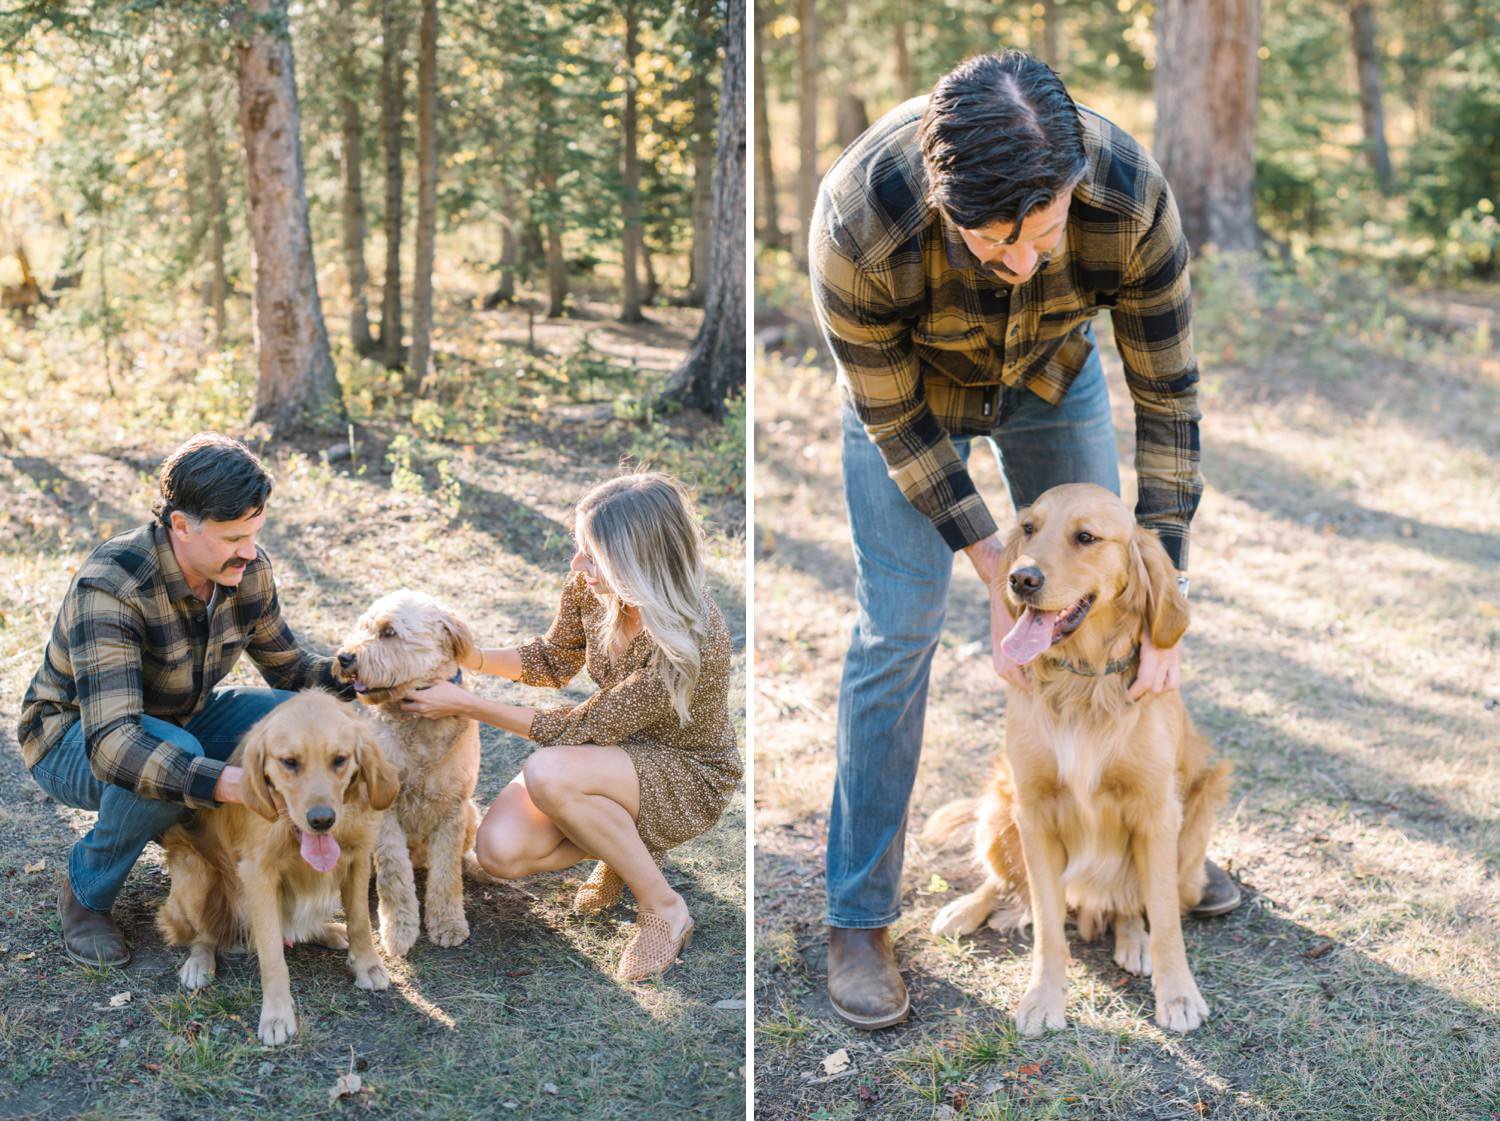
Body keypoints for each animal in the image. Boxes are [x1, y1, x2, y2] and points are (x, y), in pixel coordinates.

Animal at [156, 693, 399, 1050]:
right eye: (290, 762)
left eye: (340, 760)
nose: (322, 820)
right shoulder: (258, 875)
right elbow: (272, 956)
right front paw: (276, 1016)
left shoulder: (357, 858)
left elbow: (360, 923)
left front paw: (367, 965)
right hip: (194, 874)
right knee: (205, 934)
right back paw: (199, 962)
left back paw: (328, 931)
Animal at [333, 588, 480, 954]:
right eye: (364, 626)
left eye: (389, 632)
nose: (344, 656)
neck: (419, 724)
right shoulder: (385, 811)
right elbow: (393, 875)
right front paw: (399, 931)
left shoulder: (453, 810)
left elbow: (447, 874)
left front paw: (448, 923)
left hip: (472, 814)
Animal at [924, 486, 1230, 1038]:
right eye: (1027, 528)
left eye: (1085, 537)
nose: (1020, 578)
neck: (1083, 682)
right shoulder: (1034, 810)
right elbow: (1048, 924)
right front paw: (1043, 998)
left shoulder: (1157, 812)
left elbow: (1165, 921)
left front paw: (1177, 995)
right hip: (1000, 803)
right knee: (1003, 881)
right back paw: (966, 908)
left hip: (1199, 809)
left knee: (1132, 903)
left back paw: (1132, 939)